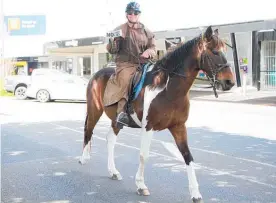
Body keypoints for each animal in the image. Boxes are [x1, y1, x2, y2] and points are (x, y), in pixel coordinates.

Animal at [78, 26, 234, 203]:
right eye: (214, 51)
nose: (230, 82)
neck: (166, 88)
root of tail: (96, 75)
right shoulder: (148, 127)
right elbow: (143, 155)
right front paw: (141, 185)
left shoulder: (179, 127)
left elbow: (187, 156)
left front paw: (195, 193)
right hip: (94, 110)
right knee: (88, 130)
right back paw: (84, 159)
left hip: (116, 120)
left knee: (110, 139)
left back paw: (113, 171)